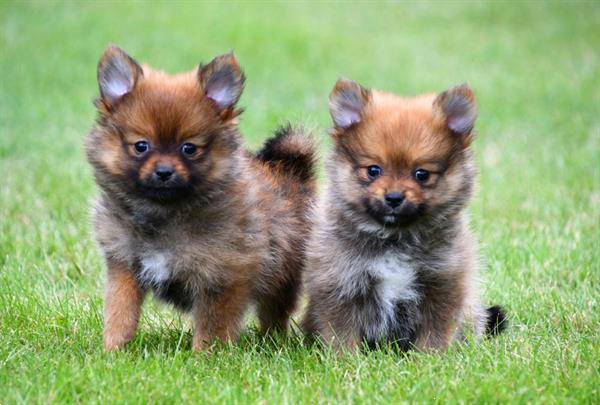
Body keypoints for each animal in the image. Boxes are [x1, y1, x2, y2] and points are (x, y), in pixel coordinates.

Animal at [87, 45, 318, 350]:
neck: (166, 214)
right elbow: (120, 311)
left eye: (189, 148)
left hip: (283, 275)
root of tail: (293, 173)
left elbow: (212, 326)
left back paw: (271, 341)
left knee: (275, 312)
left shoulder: (221, 276)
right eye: (141, 146)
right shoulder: (124, 265)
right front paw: (114, 349)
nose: (164, 171)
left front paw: (205, 356)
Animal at [302, 78, 504, 350]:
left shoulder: (442, 281)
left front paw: (429, 357)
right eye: (373, 170)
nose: (394, 197)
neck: (394, 238)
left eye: (421, 174)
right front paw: (344, 358)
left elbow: (434, 332)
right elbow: (342, 334)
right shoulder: (340, 282)